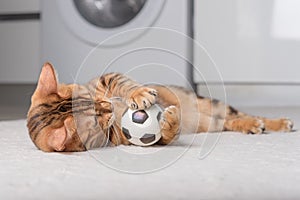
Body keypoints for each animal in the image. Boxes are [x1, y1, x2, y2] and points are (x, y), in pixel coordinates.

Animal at [27, 63, 294, 152]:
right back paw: (253, 126)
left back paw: (276, 122)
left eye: (87, 96)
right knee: (229, 122)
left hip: (212, 104)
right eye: (94, 123)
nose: (108, 106)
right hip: (211, 122)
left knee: (243, 114)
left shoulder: (107, 77)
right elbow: (164, 136)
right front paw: (170, 121)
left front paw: (140, 93)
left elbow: (122, 83)